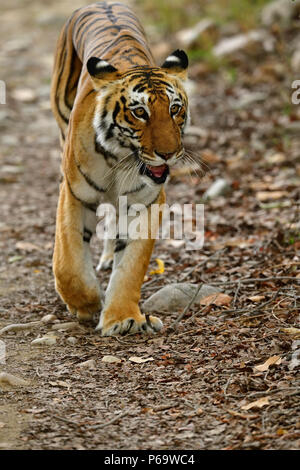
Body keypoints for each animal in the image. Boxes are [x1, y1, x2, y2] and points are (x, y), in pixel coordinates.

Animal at [50, 0, 189, 338]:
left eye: (174, 109)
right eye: (140, 112)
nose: (168, 154)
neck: (120, 159)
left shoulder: (146, 202)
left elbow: (131, 265)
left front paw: (122, 318)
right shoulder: (73, 194)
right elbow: (68, 262)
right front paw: (86, 304)